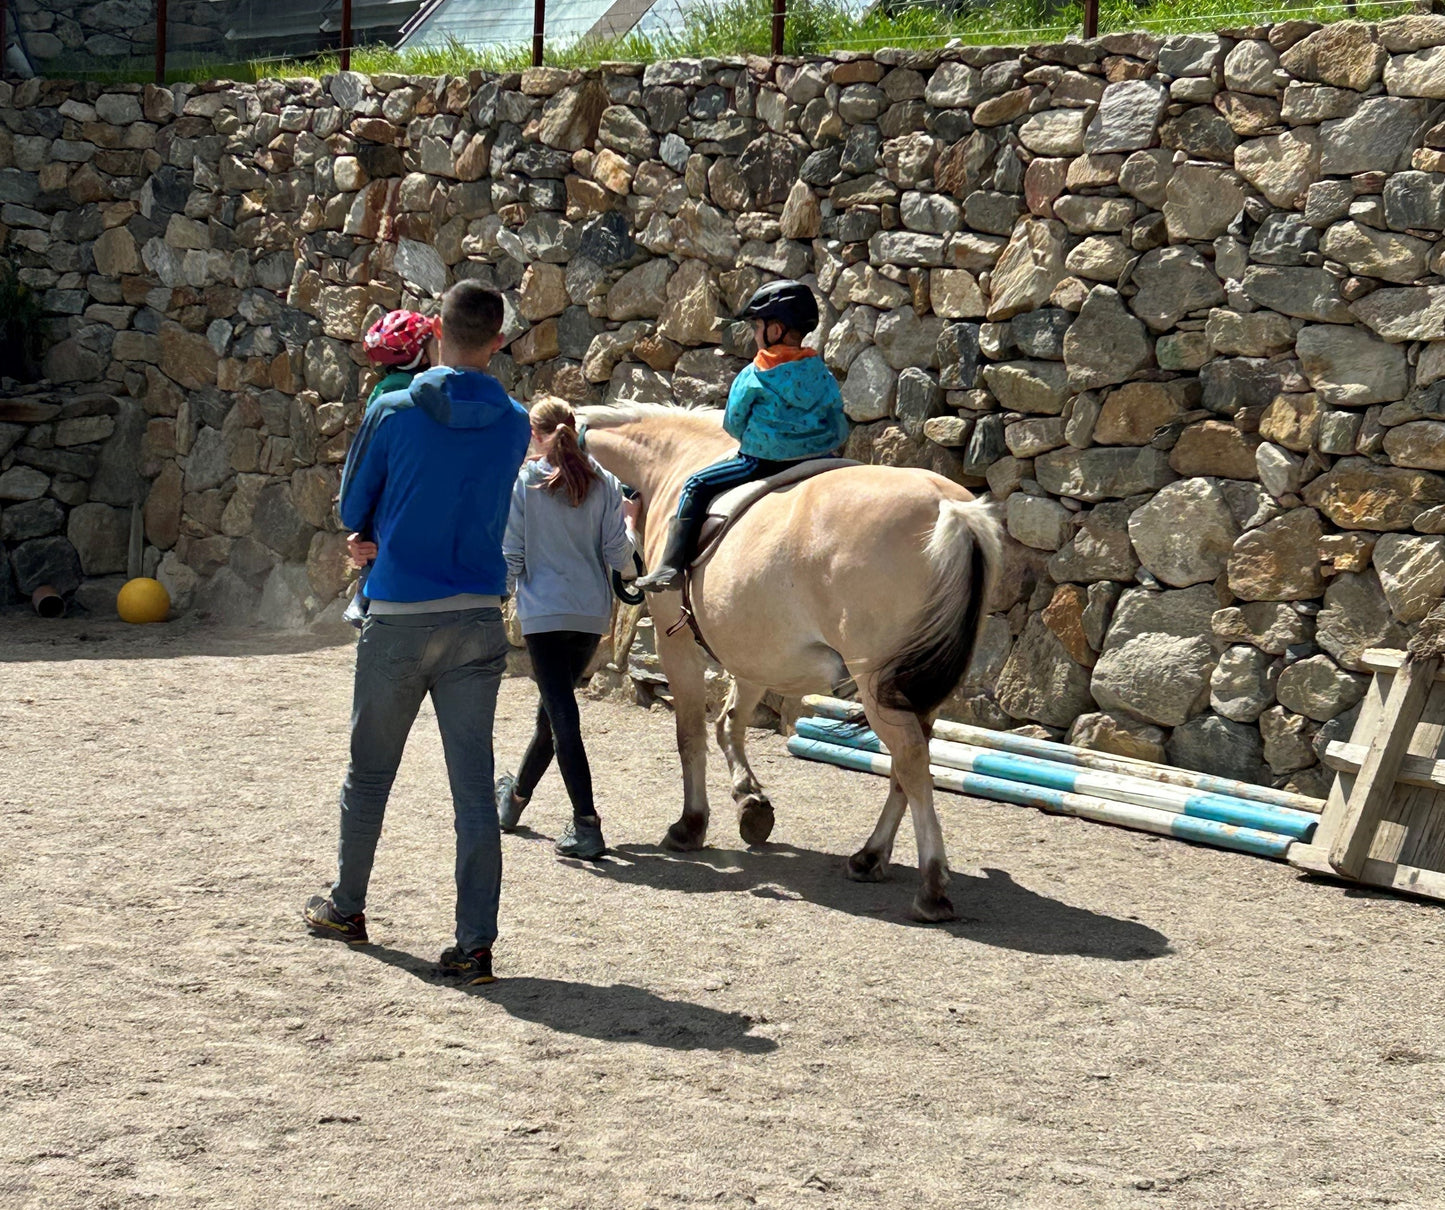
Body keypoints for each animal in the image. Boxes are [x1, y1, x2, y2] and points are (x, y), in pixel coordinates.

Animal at [578, 401, 1005, 919]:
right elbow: (730, 723)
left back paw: (931, 888)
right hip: (915, 689)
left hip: (878, 685)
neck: (673, 464)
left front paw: (691, 824)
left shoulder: (674, 644)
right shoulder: (752, 655)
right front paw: (750, 802)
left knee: (911, 762)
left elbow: (690, 736)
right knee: (908, 768)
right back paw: (869, 857)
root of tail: (950, 508)